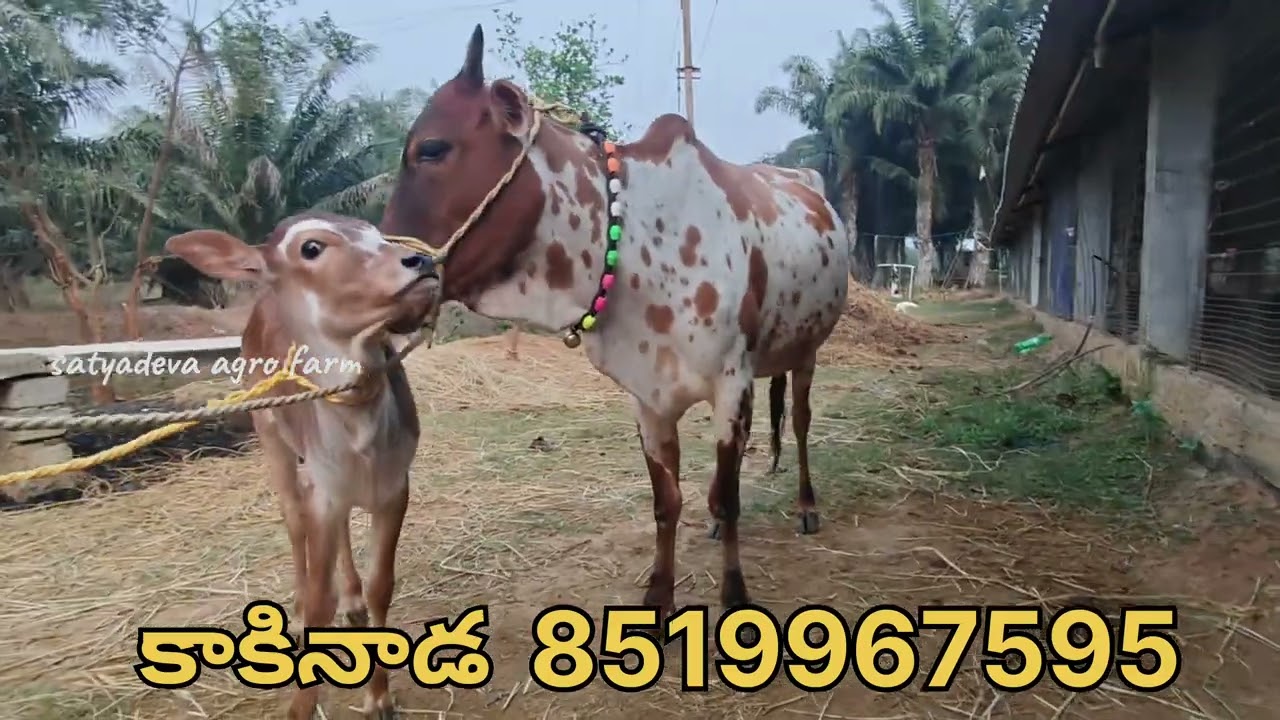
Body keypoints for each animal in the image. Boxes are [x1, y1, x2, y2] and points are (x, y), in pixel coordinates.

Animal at [164, 212, 440, 719]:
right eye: (311, 248)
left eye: (377, 233)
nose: (420, 260)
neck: (361, 437)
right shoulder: (321, 489)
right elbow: (317, 601)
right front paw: (302, 705)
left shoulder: (393, 485)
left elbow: (381, 586)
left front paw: (378, 697)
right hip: (268, 432)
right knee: (292, 522)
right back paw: (293, 611)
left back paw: (351, 599)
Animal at [379, 25, 851, 623]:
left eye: (432, 148)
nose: (379, 269)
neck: (638, 243)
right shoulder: (647, 399)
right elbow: (667, 501)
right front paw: (658, 595)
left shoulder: (731, 384)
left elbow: (727, 495)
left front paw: (735, 593)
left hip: (808, 350)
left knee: (803, 422)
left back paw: (807, 505)